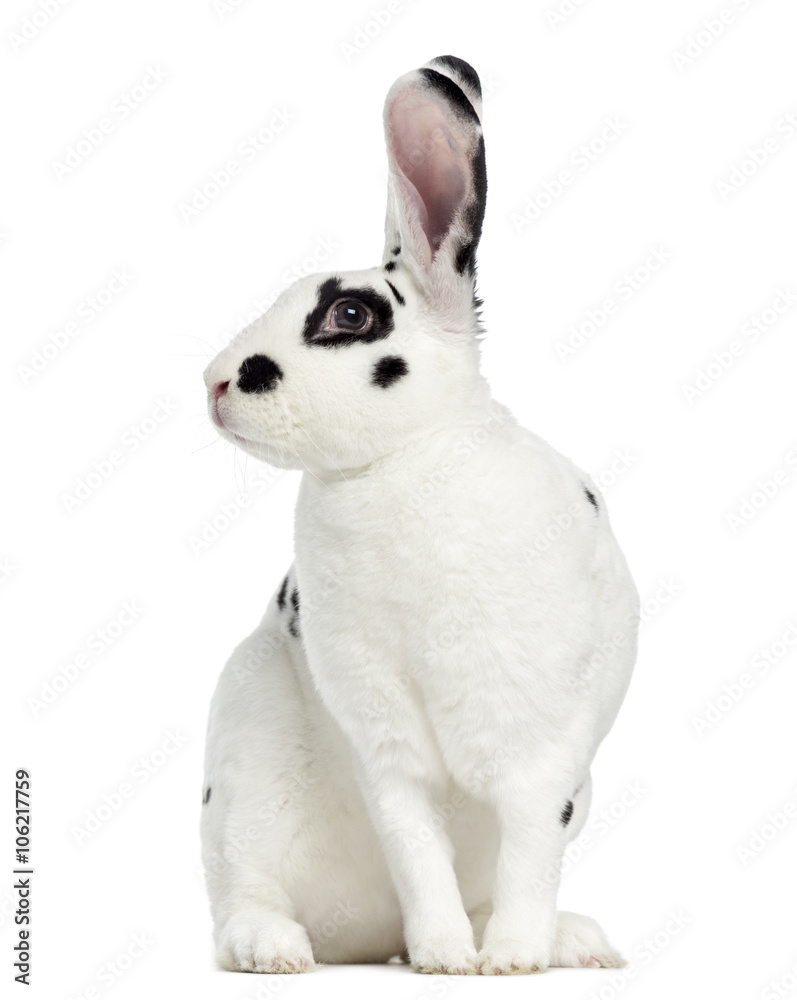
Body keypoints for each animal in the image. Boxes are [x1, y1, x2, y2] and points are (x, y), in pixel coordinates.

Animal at [200, 54, 639, 976]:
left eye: (350, 315)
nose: (214, 383)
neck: (401, 463)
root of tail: (363, 937)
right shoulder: (386, 749)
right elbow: (415, 848)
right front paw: (444, 958)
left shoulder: (541, 753)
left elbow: (528, 854)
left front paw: (509, 959)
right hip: (242, 764)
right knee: (242, 898)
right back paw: (279, 951)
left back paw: (571, 941)